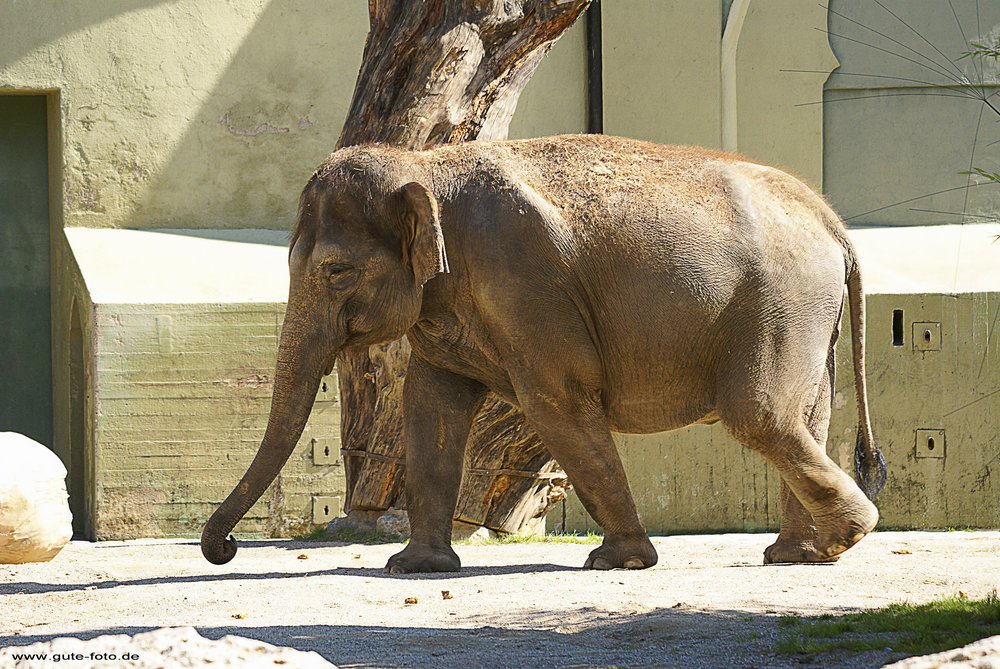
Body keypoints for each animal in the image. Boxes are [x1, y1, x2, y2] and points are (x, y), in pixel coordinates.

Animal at [201, 134, 887, 572]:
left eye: (336, 271)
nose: (225, 550)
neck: (426, 165)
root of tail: (832, 220)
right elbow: (432, 405)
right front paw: (415, 567)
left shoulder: (526, 282)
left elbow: (556, 400)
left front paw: (618, 562)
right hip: (804, 313)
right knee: (805, 416)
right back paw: (799, 554)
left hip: (779, 303)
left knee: (760, 414)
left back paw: (847, 535)